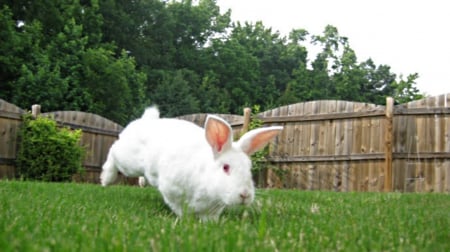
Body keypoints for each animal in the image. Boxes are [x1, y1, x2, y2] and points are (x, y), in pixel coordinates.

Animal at [101, 106, 282, 220]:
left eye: (249, 169)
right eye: (225, 167)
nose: (245, 195)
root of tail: (145, 121)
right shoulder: (172, 191)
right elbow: (181, 210)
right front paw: (186, 221)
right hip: (127, 159)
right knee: (113, 150)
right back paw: (105, 179)